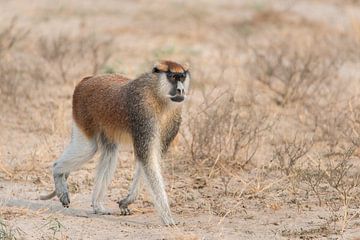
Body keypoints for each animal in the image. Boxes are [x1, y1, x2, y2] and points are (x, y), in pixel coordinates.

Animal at [40, 60, 190, 225]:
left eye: (182, 77)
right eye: (172, 77)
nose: (181, 90)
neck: (157, 94)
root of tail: (86, 79)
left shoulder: (173, 120)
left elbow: (149, 159)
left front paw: (127, 201)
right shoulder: (143, 115)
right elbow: (148, 160)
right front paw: (167, 217)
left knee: (110, 151)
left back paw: (97, 205)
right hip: (82, 112)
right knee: (88, 148)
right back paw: (58, 172)